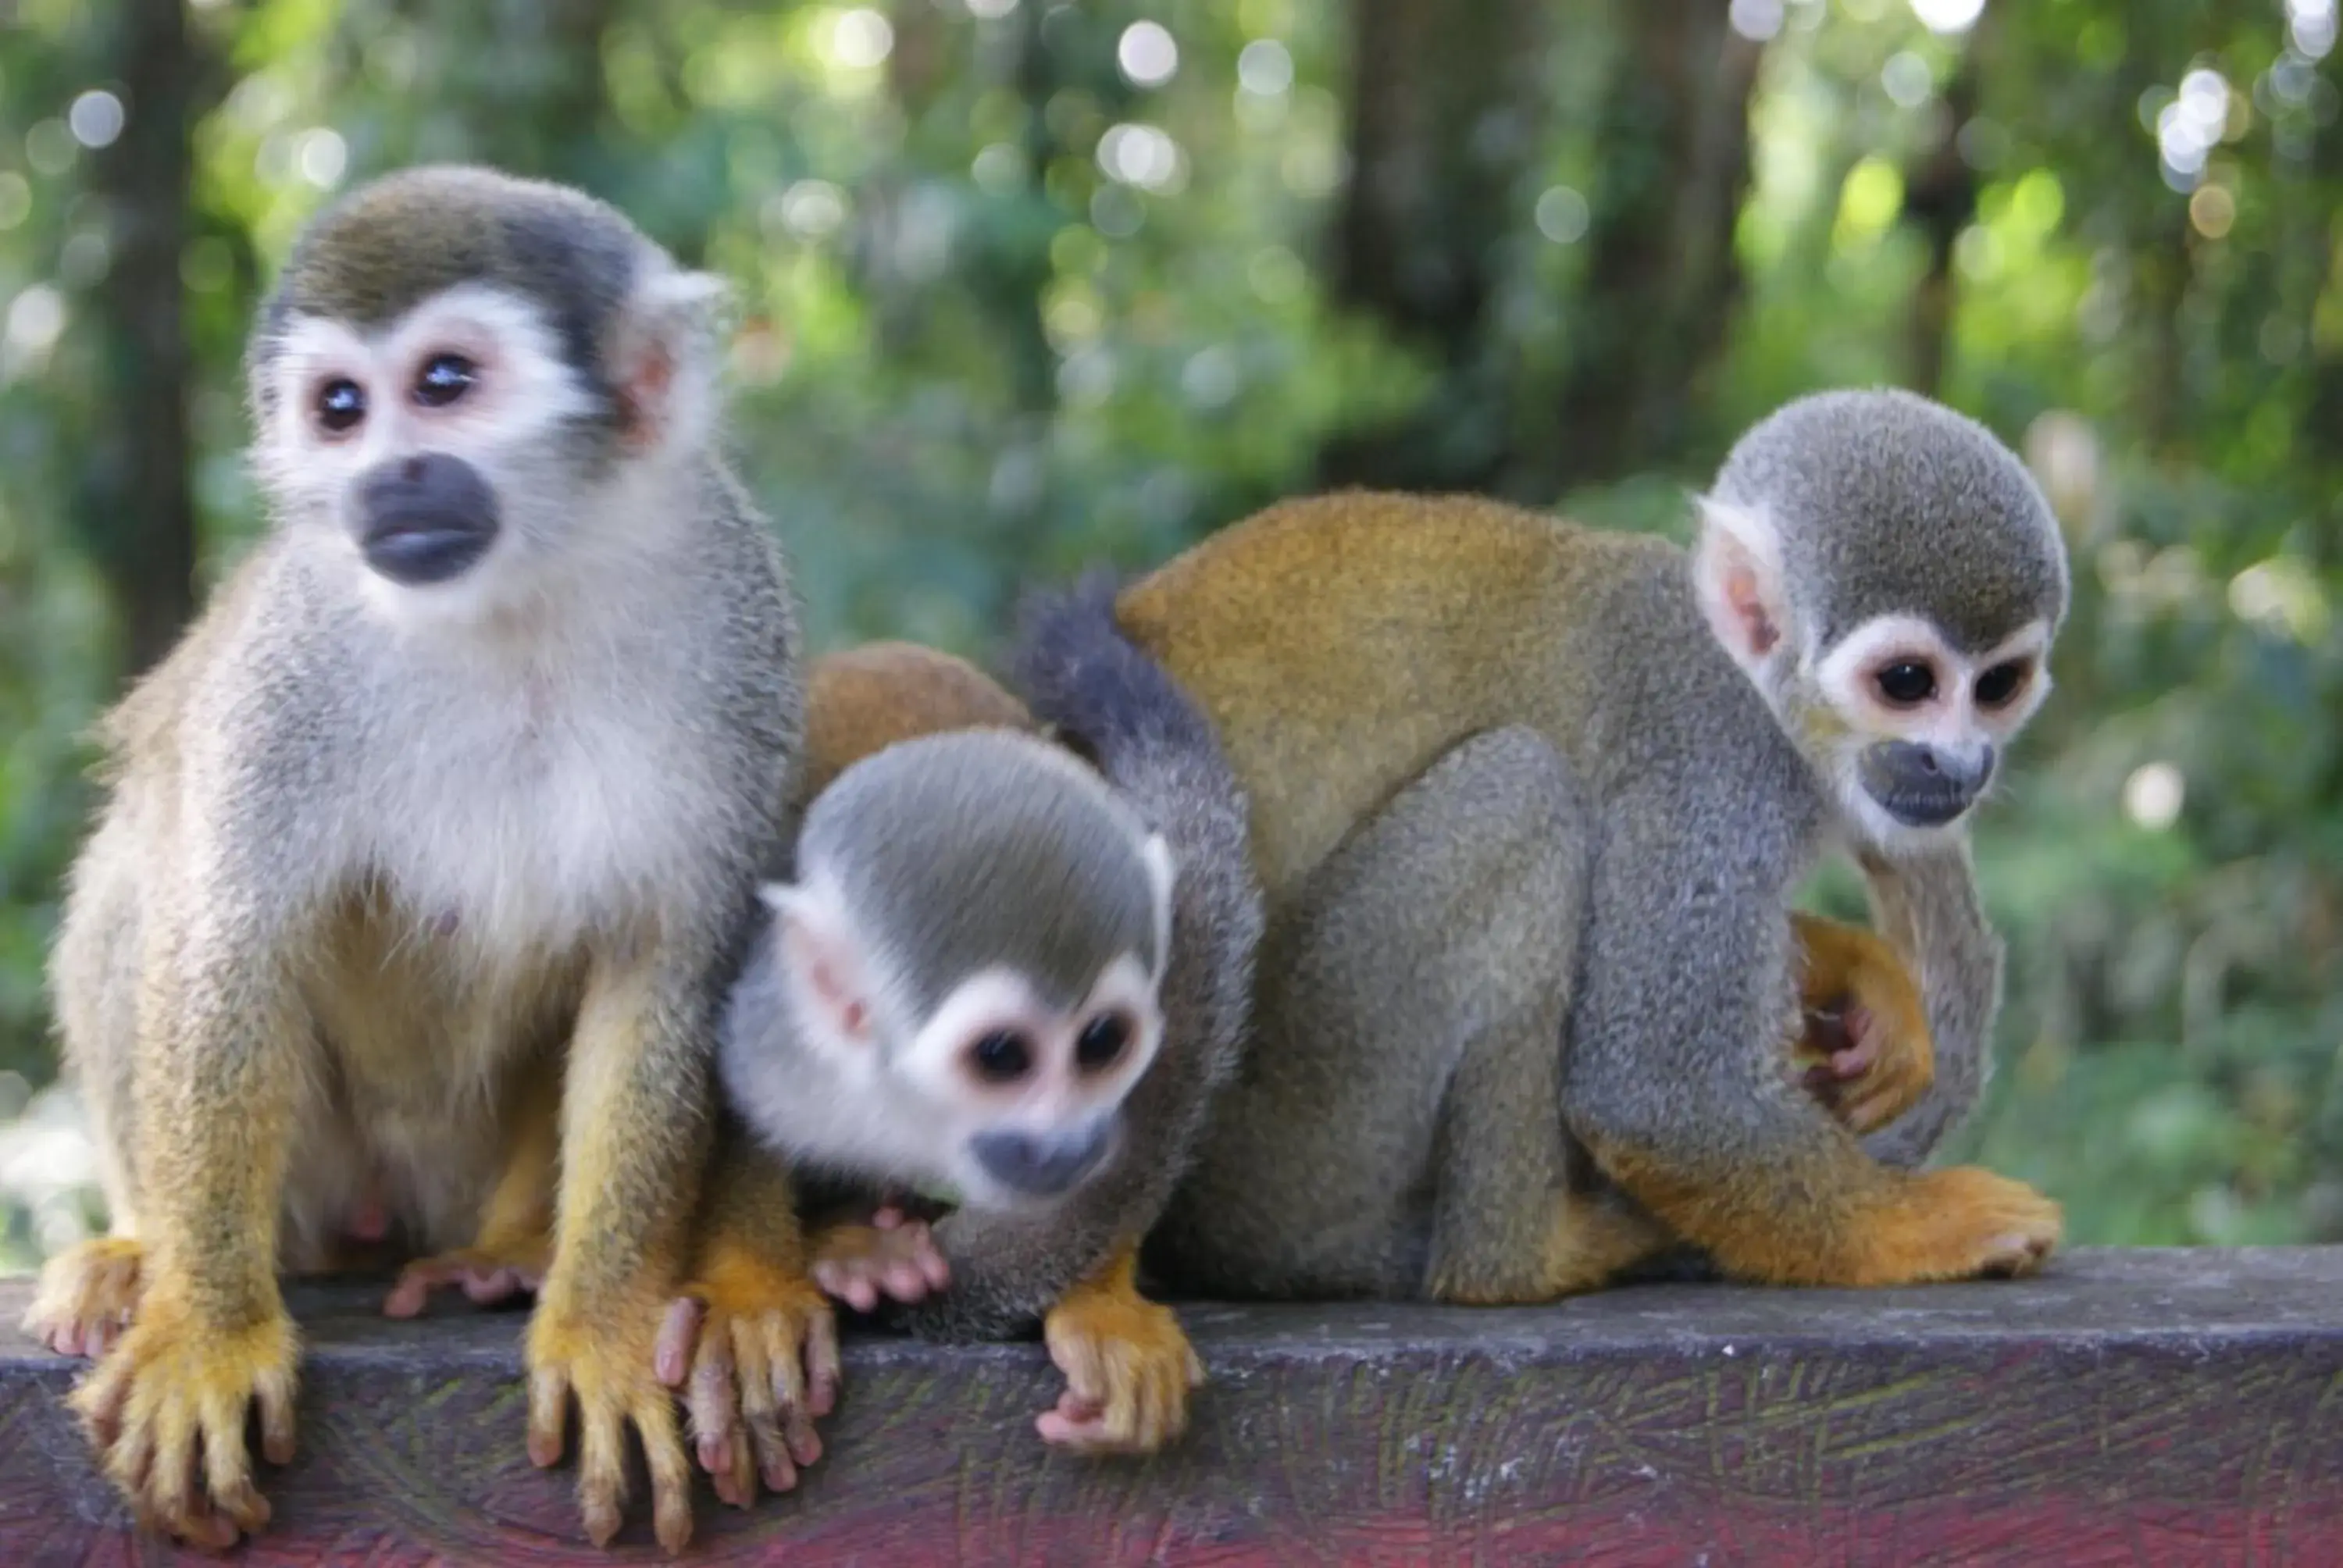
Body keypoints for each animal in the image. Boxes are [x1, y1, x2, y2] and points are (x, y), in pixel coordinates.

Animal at [20, 162, 815, 1556]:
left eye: (445, 382)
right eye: (340, 410)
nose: (386, 480)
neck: (521, 597)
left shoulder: (736, 636)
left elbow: (663, 968)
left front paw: (602, 1321)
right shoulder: (295, 658)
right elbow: (229, 941)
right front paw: (209, 1333)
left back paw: (507, 1250)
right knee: (151, 870)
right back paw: (138, 1253)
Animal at [1115, 384, 2071, 1303]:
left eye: (1998, 685)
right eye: (1907, 682)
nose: (1961, 763)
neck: (1756, 689)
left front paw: (1860, 976)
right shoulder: (1711, 767)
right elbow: (1658, 1094)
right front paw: (1924, 1225)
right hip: (1313, 1122)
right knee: (1527, 796)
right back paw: (1521, 1259)